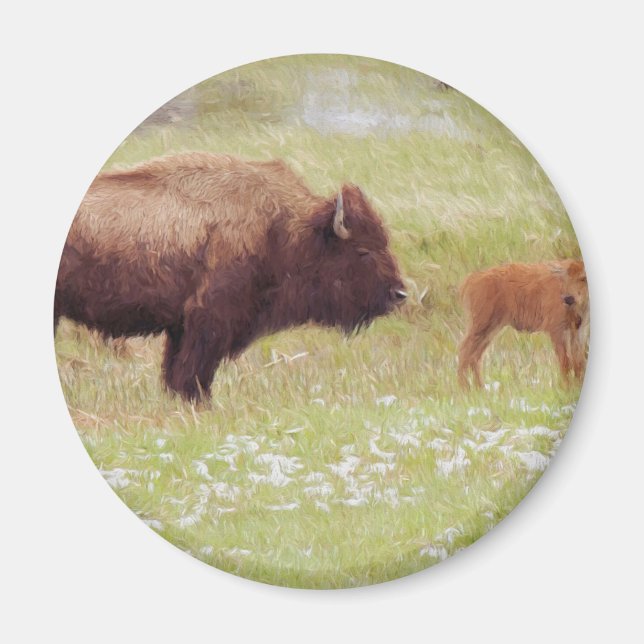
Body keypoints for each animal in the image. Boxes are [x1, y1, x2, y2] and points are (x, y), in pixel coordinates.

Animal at [55, 153, 407, 401]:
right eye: (362, 250)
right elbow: (191, 372)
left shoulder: (182, 327)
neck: (284, 228)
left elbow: (177, 371)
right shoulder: (208, 321)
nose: (399, 294)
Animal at [457, 260, 588, 388]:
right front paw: (566, 388)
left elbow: (578, 361)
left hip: (491, 329)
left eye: (583, 278)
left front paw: (576, 386)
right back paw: (465, 389)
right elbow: (565, 361)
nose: (568, 298)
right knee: (465, 350)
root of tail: (471, 279)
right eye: (565, 278)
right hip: (481, 325)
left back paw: (480, 388)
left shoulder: (578, 330)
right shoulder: (557, 330)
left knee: (475, 355)